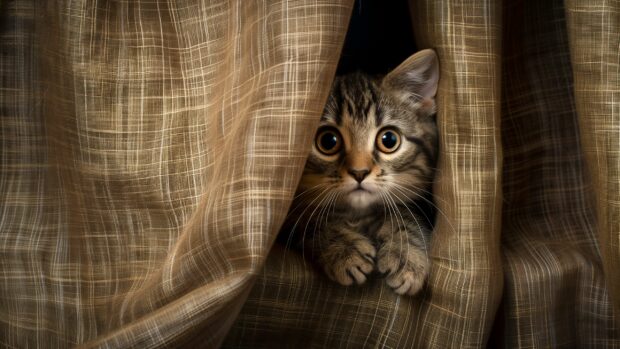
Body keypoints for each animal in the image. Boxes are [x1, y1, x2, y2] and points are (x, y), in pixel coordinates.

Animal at [284, 48, 438, 294]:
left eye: (389, 139)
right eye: (328, 141)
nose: (359, 172)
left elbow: (403, 213)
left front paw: (406, 252)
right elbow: (311, 219)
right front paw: (343, 248)